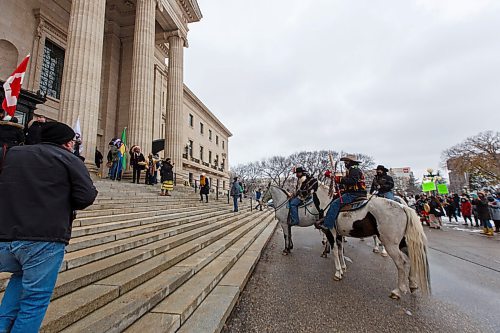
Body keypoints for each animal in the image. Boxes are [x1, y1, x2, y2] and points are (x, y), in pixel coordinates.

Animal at [264, 184, 432, 298]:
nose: (298, 195)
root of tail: (404, 207)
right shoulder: (337, 233)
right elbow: (338, 248)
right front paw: (343, 267)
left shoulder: (324, 230)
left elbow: (333, 249)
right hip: (403, 242)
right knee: (411, 257)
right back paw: (412, 284)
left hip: (390, 242)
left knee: (401, 263)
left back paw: (397, 290)